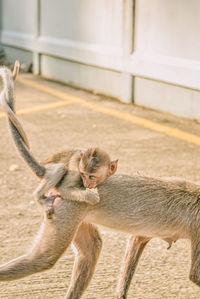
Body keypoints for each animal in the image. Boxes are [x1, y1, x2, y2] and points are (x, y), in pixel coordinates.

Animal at [0, 63, 200, 299]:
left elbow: (137, 239)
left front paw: (121, 293)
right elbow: (195, 275)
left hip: (75, 212)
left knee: (91, 250)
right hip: (70, 206)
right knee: (42, 260)